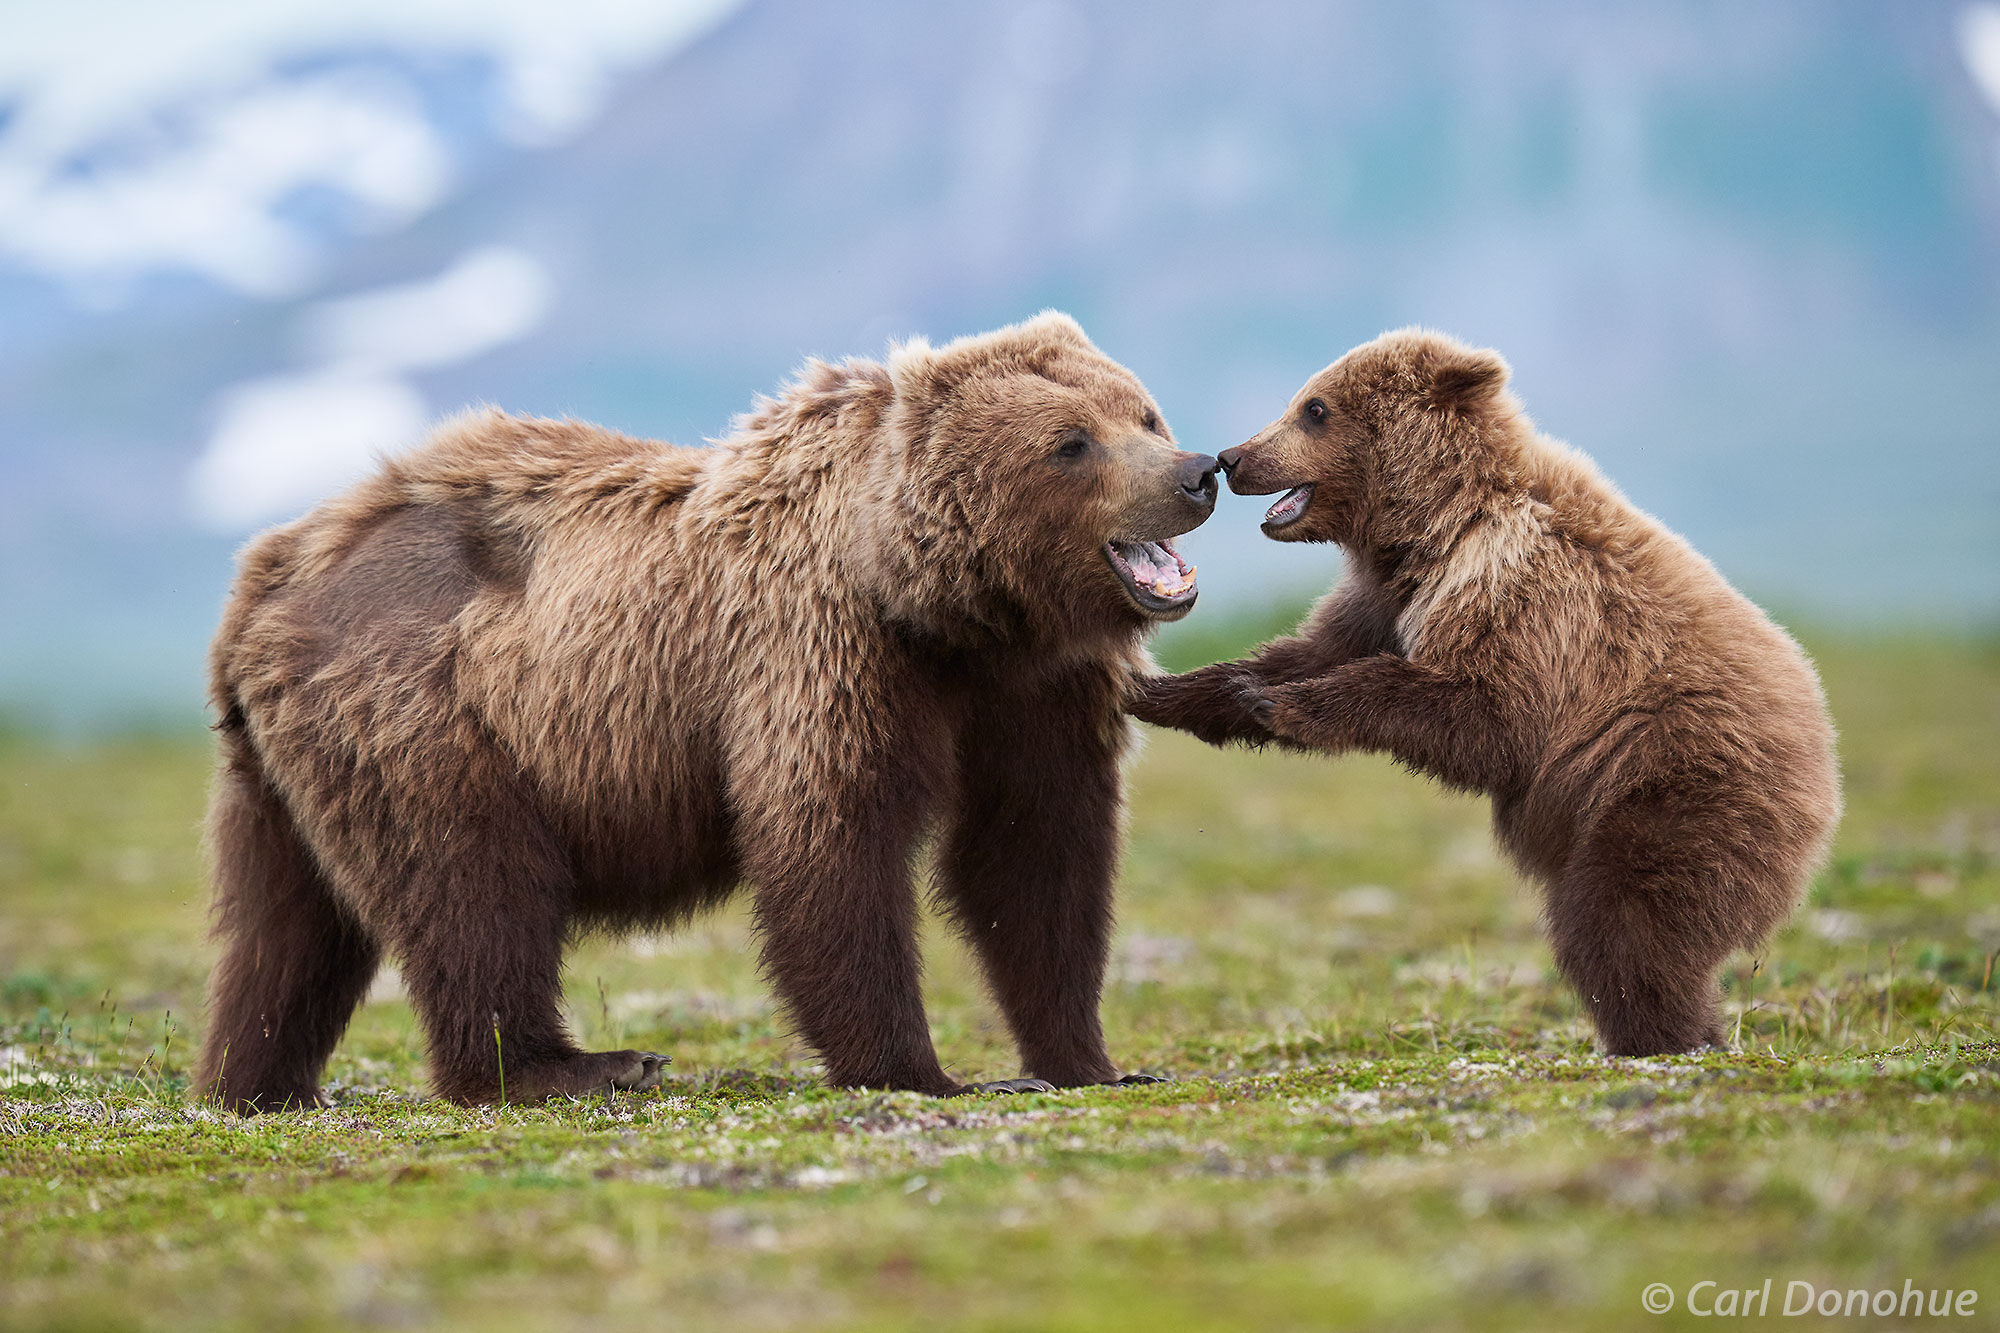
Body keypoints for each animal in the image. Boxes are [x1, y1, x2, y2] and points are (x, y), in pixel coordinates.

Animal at [192, 311, 1220, 1111]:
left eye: (1142, 412)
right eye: (1071, 442)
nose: (1196, 472)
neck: (955, 613)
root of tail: (270, 571)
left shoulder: (1032, 696)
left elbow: (1036, 858)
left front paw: (1093, 1060)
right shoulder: (818, 651)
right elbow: (831, 844)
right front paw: (919, 1069)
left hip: (284, 767)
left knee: (287, 928)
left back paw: (254, 1079)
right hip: (424, 707)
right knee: (471, 881)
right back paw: (576, 1065)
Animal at [1128, 328, 1841, 1056]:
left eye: (1314, 408)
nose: (1232, 457)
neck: (1439, 529)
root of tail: (1822, 752)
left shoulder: (1529, 600)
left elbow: (1486, 719)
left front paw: (1289, 704)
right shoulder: (1387, 602)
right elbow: (1305, 651)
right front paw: (1173, 688)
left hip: (1675, 789)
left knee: (1625, 918)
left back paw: (1661, 1032)